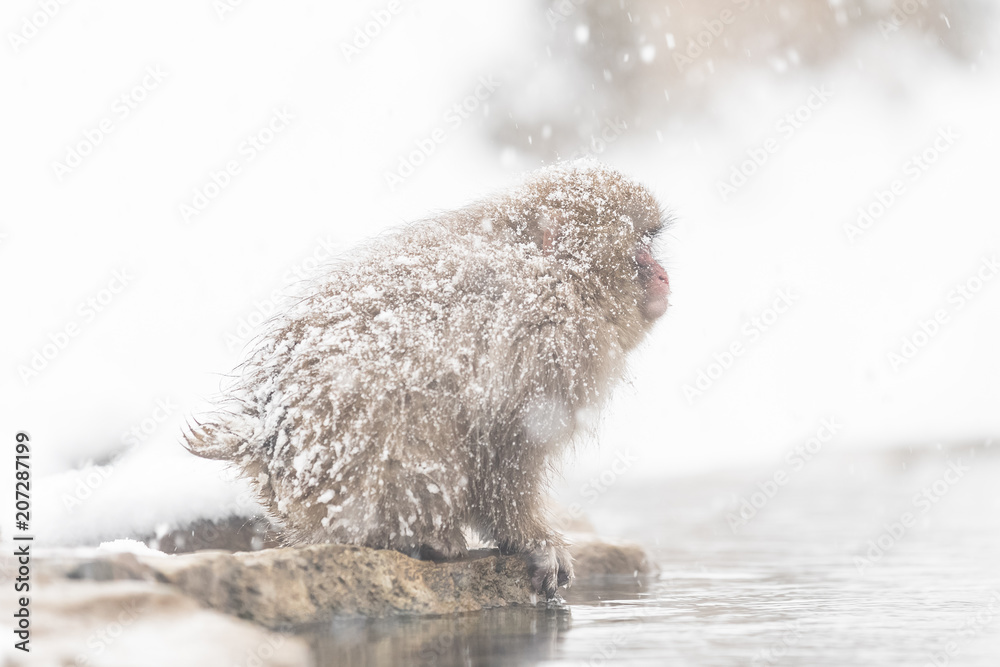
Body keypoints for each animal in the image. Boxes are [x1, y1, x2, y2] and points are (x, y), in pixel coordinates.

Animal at [188, 162, 672, 600]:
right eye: (639, 246)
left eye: (651, 242)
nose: (664, 274)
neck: (563, 280)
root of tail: (262, 440)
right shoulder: (544, 342)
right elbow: (506, 448)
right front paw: (533, 539)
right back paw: (425, 539)